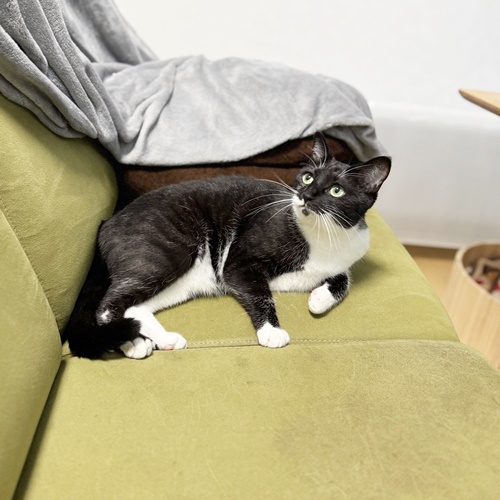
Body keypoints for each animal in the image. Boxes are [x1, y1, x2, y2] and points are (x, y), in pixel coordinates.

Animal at [65, 134, 390, 359]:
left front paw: (319, 299)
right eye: (308, 176)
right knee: (108, 305)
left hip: (185, 281)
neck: (323, 235)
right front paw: (272, 331)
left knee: (136, 306)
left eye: (336, 191)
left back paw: (164, 339)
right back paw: (131, 342)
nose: (306, 196)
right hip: (168, 253)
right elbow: (260, 294)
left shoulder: (343, 257)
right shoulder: (239, 261)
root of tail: (107, 222)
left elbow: (344, 277)